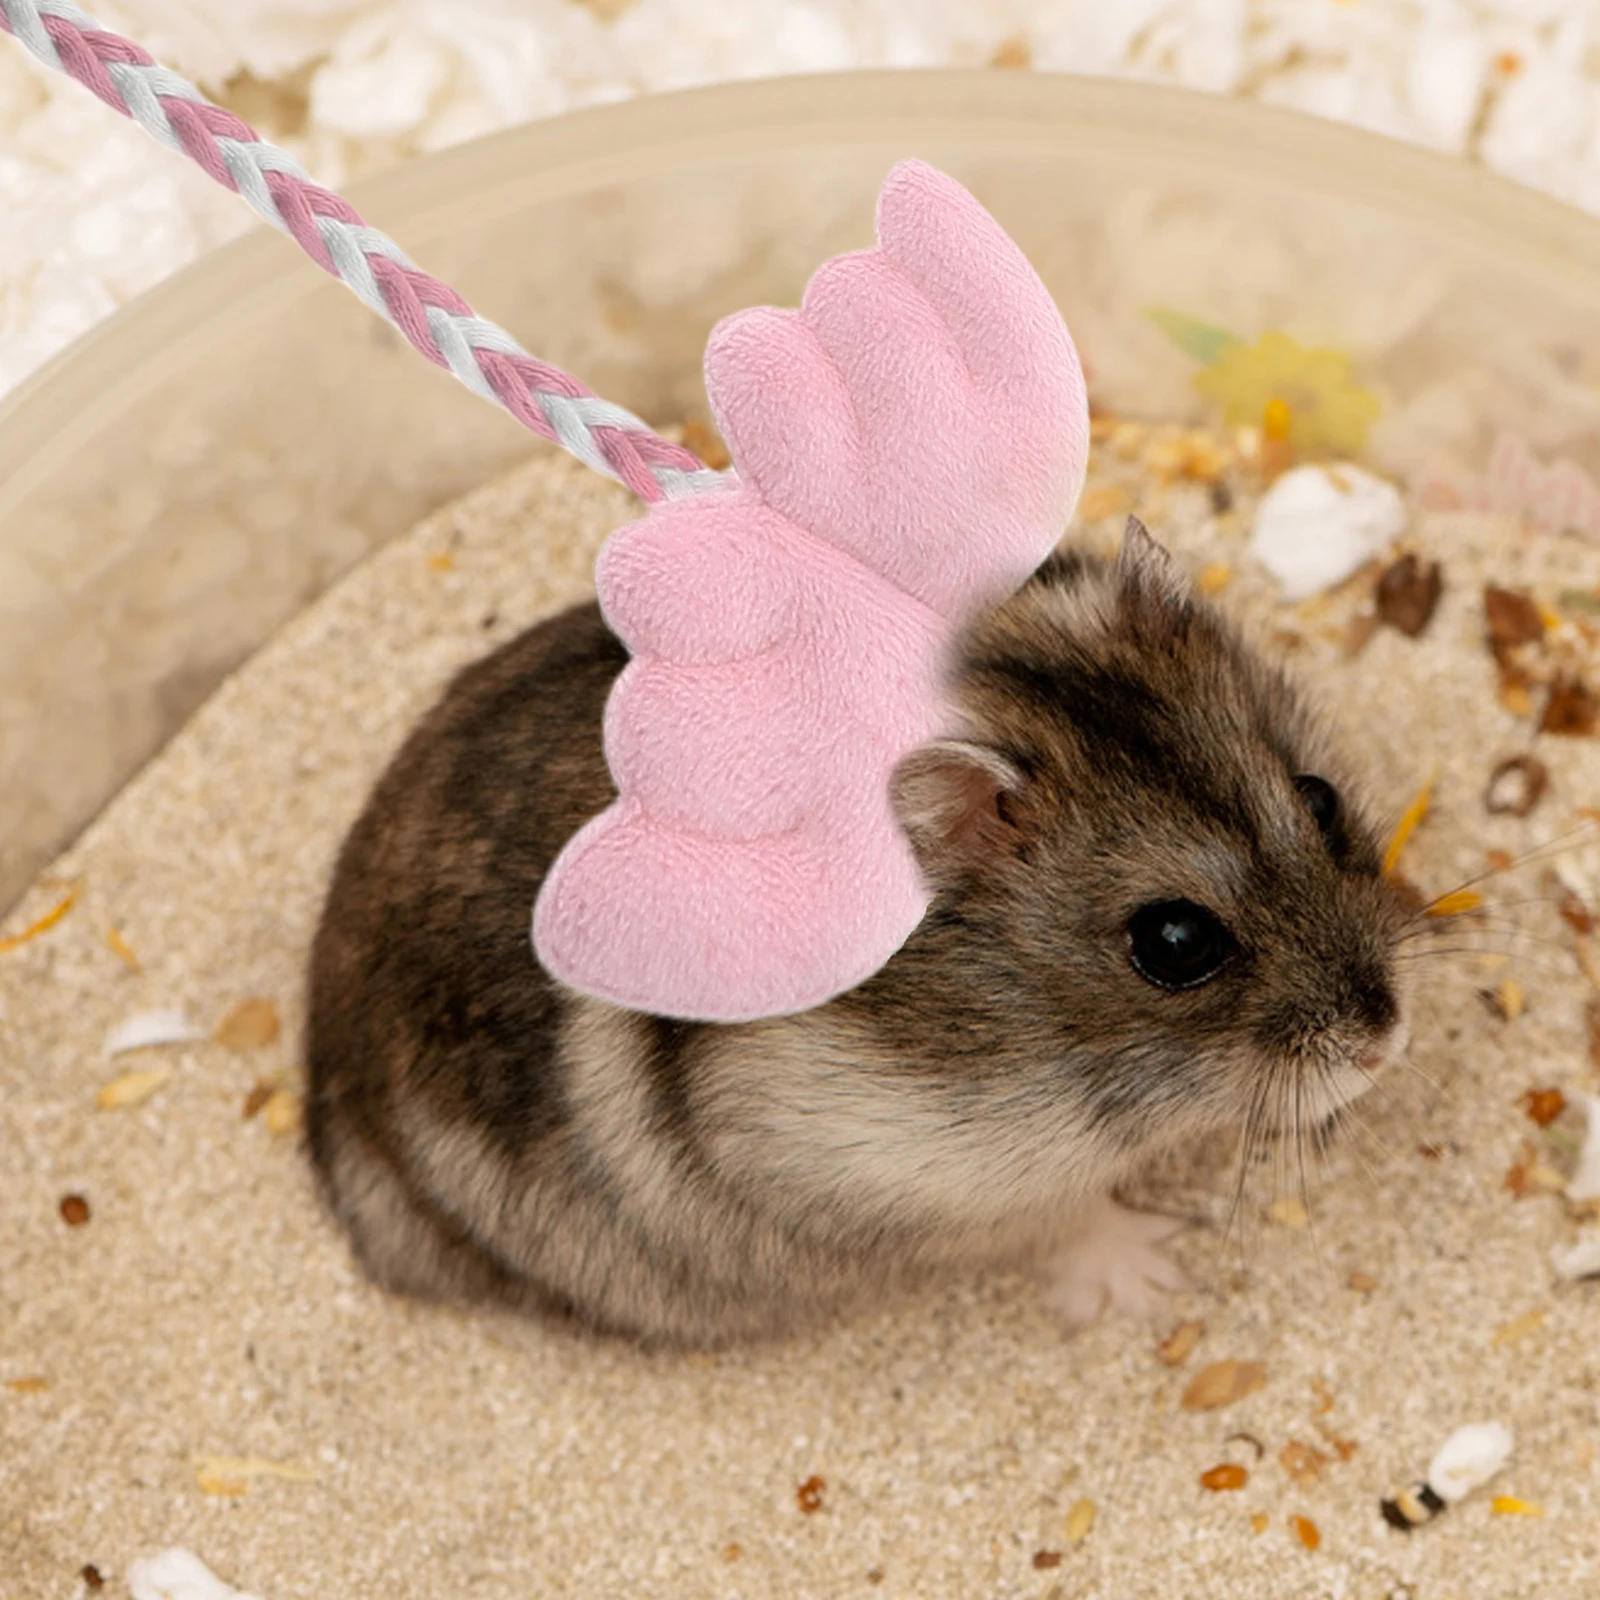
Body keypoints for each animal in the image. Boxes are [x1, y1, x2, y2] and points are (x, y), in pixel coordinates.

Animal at [304, 519, 1410, 1348]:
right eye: (1174, 943)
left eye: (1319, 799)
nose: (1385, 1042)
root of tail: (322, 1071)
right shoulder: (932, 1185)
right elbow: (1073, 1221)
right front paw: (1153, 1276)